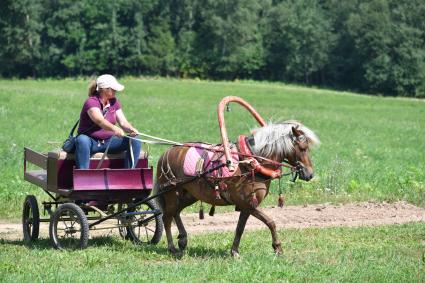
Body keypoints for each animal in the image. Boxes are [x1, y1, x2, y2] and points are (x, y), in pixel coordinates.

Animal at [155, 120, 318, 258]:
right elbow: (270, 222)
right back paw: (172, 248)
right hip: (171, 193)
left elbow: (240, 228)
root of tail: (166, 153)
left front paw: (234, 252)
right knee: (166, 217)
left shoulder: (245, 207)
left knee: (175, 212)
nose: (310, 174)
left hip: (188, 195)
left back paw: (182, 239)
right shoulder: (248, 204)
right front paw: (277, 247)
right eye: (302, 148)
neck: (251, 162)